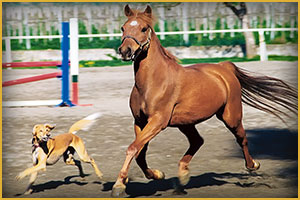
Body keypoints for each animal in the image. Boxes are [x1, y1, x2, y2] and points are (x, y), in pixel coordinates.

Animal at [111, 4, 296, 197]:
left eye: (144, 28)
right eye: (123, 28)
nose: (125, 51)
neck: (152, 81)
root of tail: (224, 67)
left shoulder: (157, 121)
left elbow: (133, 148)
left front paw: (119, 185)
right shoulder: (139, 121)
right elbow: (139, 152)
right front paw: (156, 174)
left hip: (230, 116)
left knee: (241, 138)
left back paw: (253, 165)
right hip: (186, 122)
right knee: (197, 141)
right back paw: (183, 175)